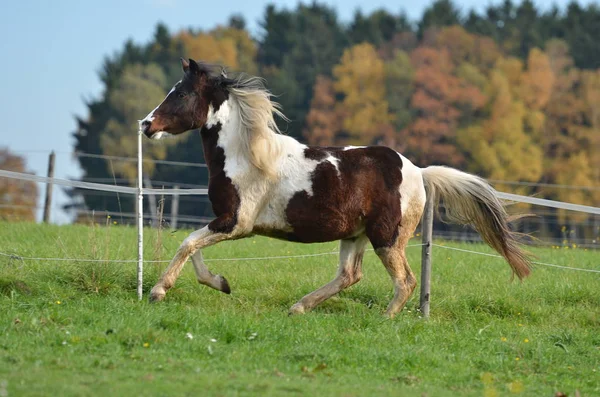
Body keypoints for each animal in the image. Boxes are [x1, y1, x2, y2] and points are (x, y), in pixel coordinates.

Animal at [139, 58, 528, 318]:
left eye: (181, 93)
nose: (146, 124)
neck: (245, 155)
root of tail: (418, 172)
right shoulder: (226, 222)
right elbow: (192, 246)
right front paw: (221, 282)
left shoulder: (236, 222)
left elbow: (187, 243)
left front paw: (159, 290)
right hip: (355, 235)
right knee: (349, 275)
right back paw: (299, 307)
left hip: (387, 238)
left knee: (405, 281)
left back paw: (384, 319)